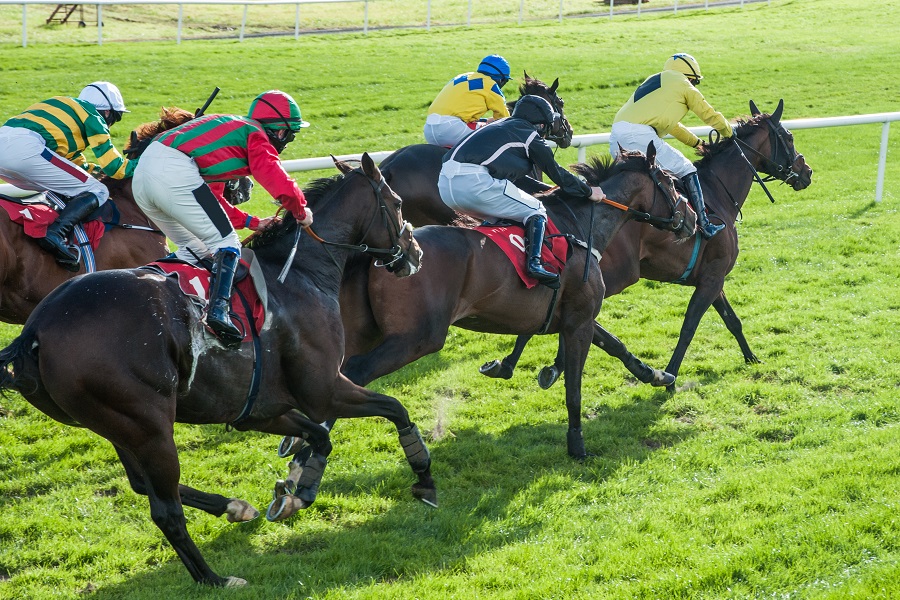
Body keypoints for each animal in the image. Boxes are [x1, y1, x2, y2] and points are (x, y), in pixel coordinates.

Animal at [0, 154, 428, 584]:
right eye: (396, 203)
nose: (415, 253)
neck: (299, 271)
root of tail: (36, 329)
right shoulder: (324, 391)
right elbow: (395, 409)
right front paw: (424, 478)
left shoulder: (258, 408)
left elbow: (319, 438)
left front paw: (295, 492)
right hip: (150, 427)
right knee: (165, 511)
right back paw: (214, 578)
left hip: (114, 424)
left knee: (141, 483)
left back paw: (234, 508)